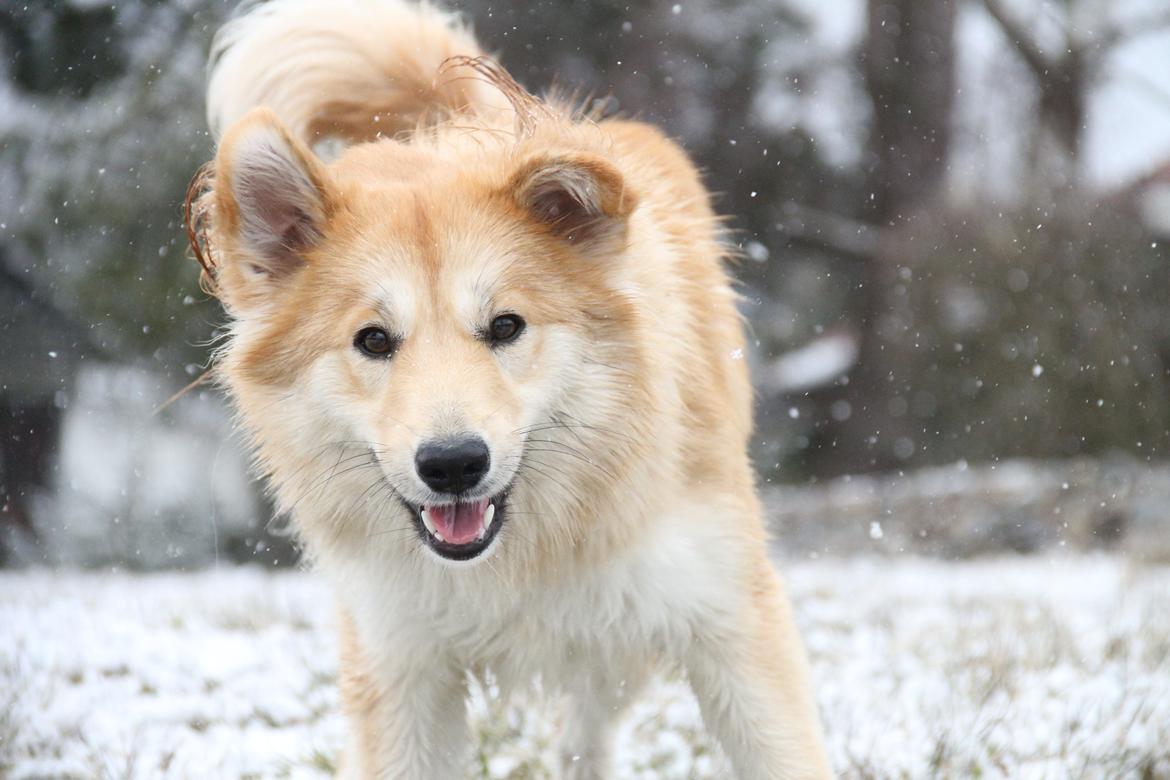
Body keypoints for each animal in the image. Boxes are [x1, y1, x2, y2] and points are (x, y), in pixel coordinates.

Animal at [184, 3, 833, 776]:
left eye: (506, 326)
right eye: (372, 341)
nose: (453, 464)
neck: (520, 556)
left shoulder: (728, 619)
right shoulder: (400, 670)